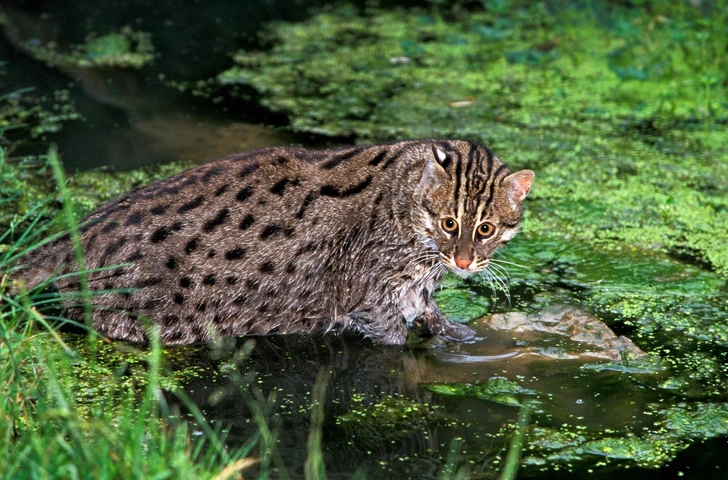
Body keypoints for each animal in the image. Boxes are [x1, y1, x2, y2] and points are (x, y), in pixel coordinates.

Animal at [17, 139, 536, 344]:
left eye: (486, 229)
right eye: (449, 223)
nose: (464, 264)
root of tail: (60, 241)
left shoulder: (415, 289)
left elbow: (437, 318)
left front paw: (463, 335)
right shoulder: (370, 298)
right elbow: (393, 334)